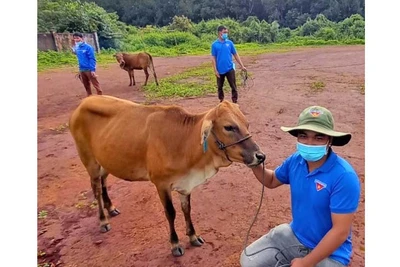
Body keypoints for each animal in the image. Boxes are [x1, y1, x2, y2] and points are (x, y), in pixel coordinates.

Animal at [69, 96, 266, 258]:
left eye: (246, 124)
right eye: (229, 127)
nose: (260, 156)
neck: (184, 142)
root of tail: (83, 103)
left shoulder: (185, 184)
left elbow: (187, 209)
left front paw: (193, 236)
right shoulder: (161, 184)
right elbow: (171, 213)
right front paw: (175, 244)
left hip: (106, 160)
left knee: (103, 182)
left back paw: (111, 208)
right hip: (90, 161)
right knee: (96, 188)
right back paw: (103, 220)